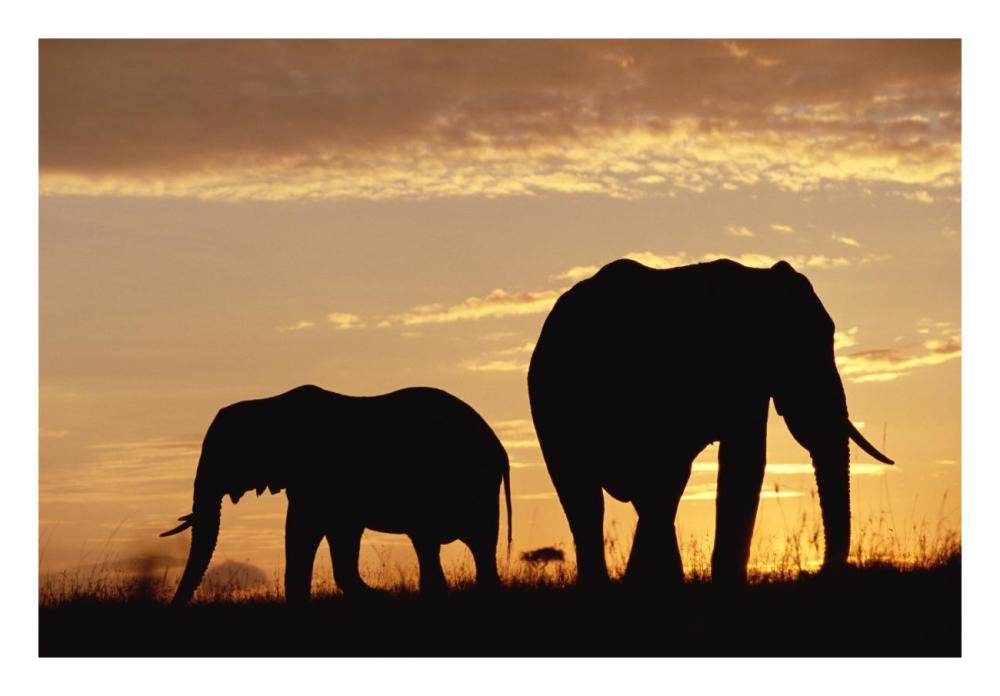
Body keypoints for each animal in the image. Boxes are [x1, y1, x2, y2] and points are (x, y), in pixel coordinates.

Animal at [161, 384, 511, 605]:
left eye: (226, 454)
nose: (175, 604)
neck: (268, 403)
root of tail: (498, 447)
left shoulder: (316, 475)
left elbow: (304, 528)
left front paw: (380, 596)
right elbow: (337, 533)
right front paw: (377, 595)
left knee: (456, 542)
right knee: (453, 546)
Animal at [527, 258, 893, 588]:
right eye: (805, 348)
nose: (820, 573)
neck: (760, 278)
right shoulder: (739, 367)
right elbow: (745, 461)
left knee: (624, 495)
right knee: (605, 494)